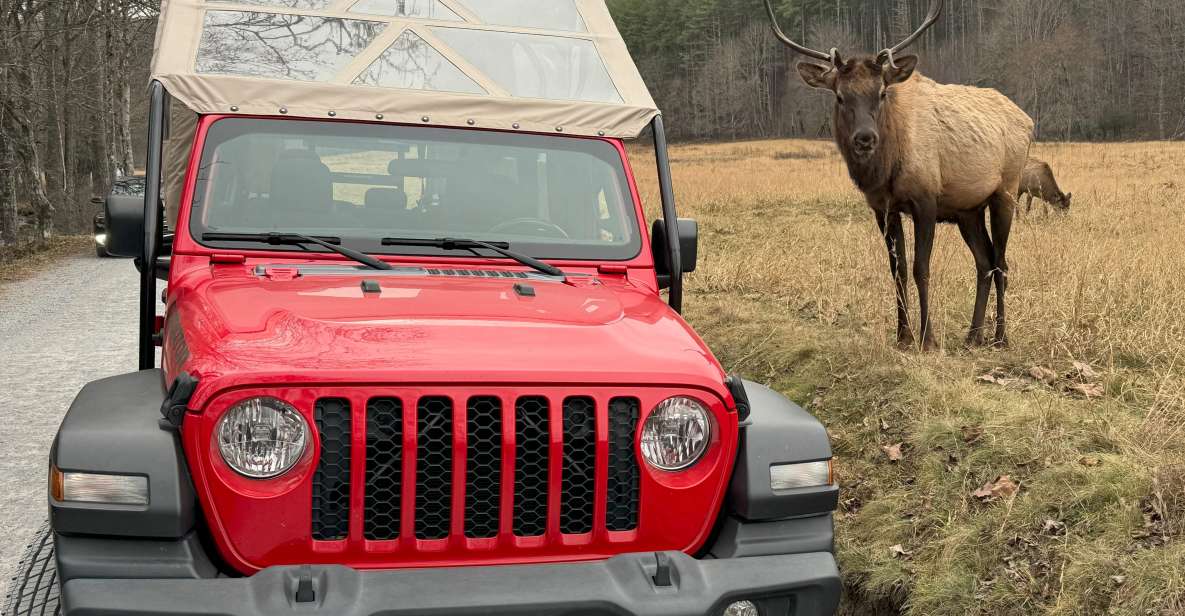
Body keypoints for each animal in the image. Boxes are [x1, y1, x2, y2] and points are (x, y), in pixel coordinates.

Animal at [763, 0, 1033, 348]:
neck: (886, 171)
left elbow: (921, 268)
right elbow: (898, 270)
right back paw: (973, 335)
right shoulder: (883, 208)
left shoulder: (926, 199)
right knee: (984, 262)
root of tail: (1028, 120)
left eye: (881, 92)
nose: (865, 138)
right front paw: (903, 336)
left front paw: (928, 339)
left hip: (1006, 190)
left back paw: (1000, 337)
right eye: (840, 96)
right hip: (968, 210)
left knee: (1002, 262)